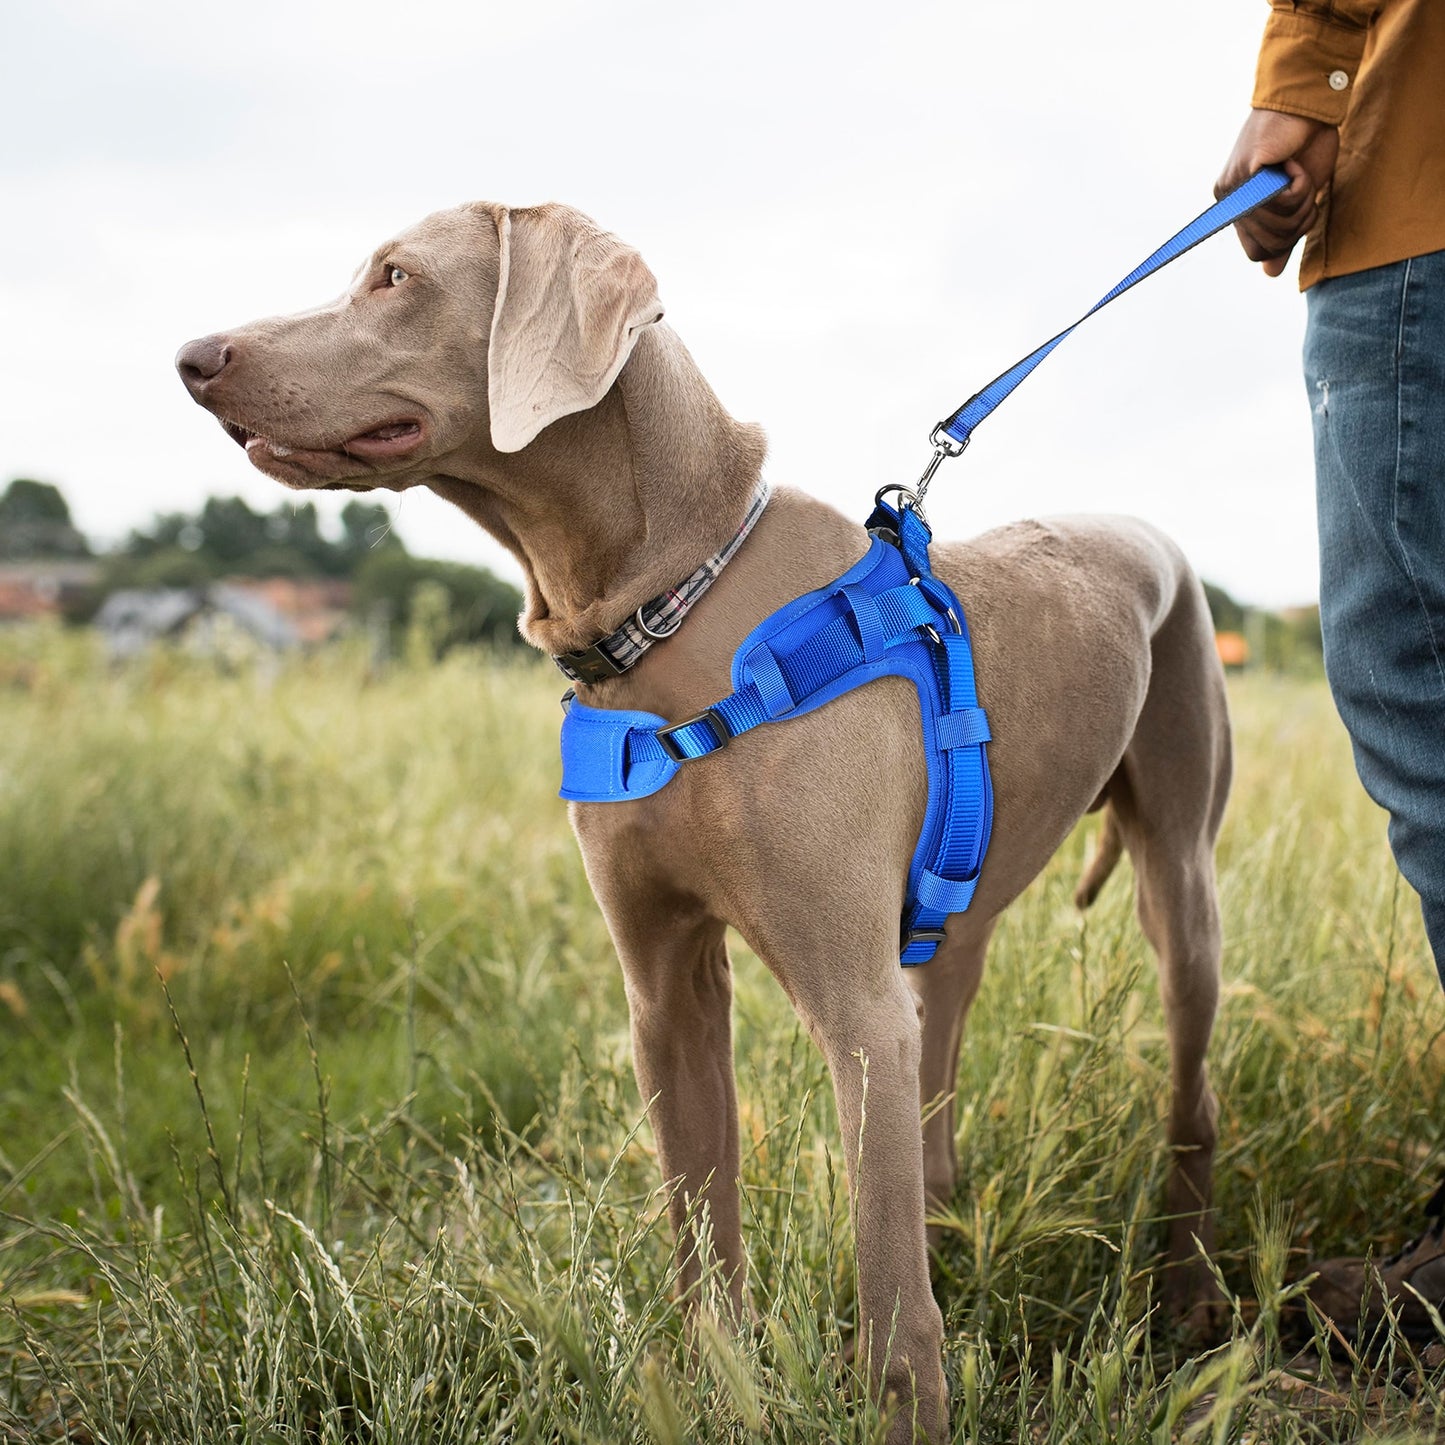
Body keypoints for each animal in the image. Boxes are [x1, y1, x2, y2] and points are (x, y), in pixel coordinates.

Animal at [174, 203, 1225, 1445]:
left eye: (396, 276)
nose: (193, 358)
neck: (667, 609)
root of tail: (1148, 530)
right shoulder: (664, 988)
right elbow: (700, 1239)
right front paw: (721, 1388)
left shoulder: (851, 1007)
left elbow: (885, 1292)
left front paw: (900, 1397)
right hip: (952, 917)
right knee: (939, 1069)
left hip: (1179, 879)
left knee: (1188, 1091)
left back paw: (1186, 1288)